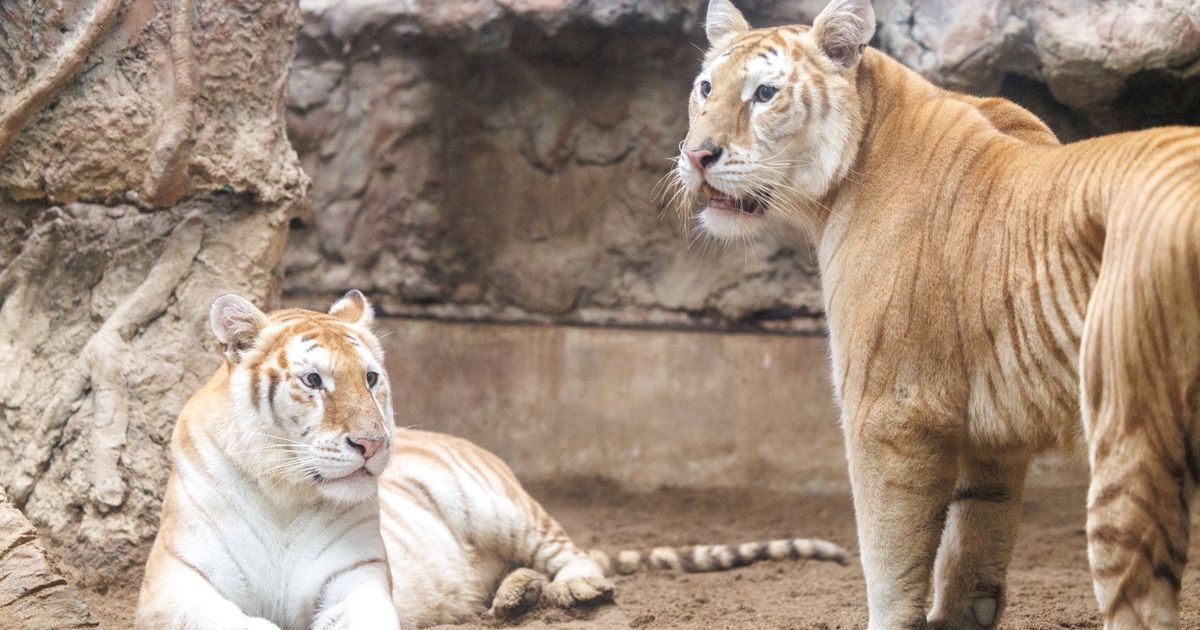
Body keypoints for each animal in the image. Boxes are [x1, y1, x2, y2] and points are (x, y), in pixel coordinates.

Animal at [140, 292, 849, 624]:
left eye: (370, 378)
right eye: (313, 381)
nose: (372, 443)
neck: (287, 492)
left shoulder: (356, 580)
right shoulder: (175, 584)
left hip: (499, 505)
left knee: (569, 551)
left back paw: (574, 589)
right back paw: (511, 597)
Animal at [676, 0, 1200, 624]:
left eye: (764, 93)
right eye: (706, 87)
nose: (697, 155)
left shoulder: (888, 409)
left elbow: (888, 558)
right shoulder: (994, 437)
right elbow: (972, 543)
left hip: (1133, 436)